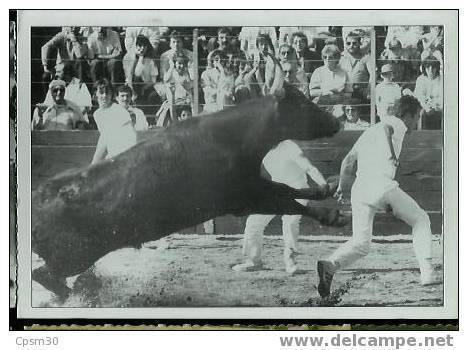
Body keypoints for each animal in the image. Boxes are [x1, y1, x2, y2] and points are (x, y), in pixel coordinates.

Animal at [31, 84, 342, 296]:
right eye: (303, 105)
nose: (337, 122)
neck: (234, 136)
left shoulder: (252, 185)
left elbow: (289, 190)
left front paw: (327, 195)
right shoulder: (245, 197)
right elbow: (288, 200)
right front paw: (332, 215)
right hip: (73, 255)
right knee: (43, 275)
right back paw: (77, 293)